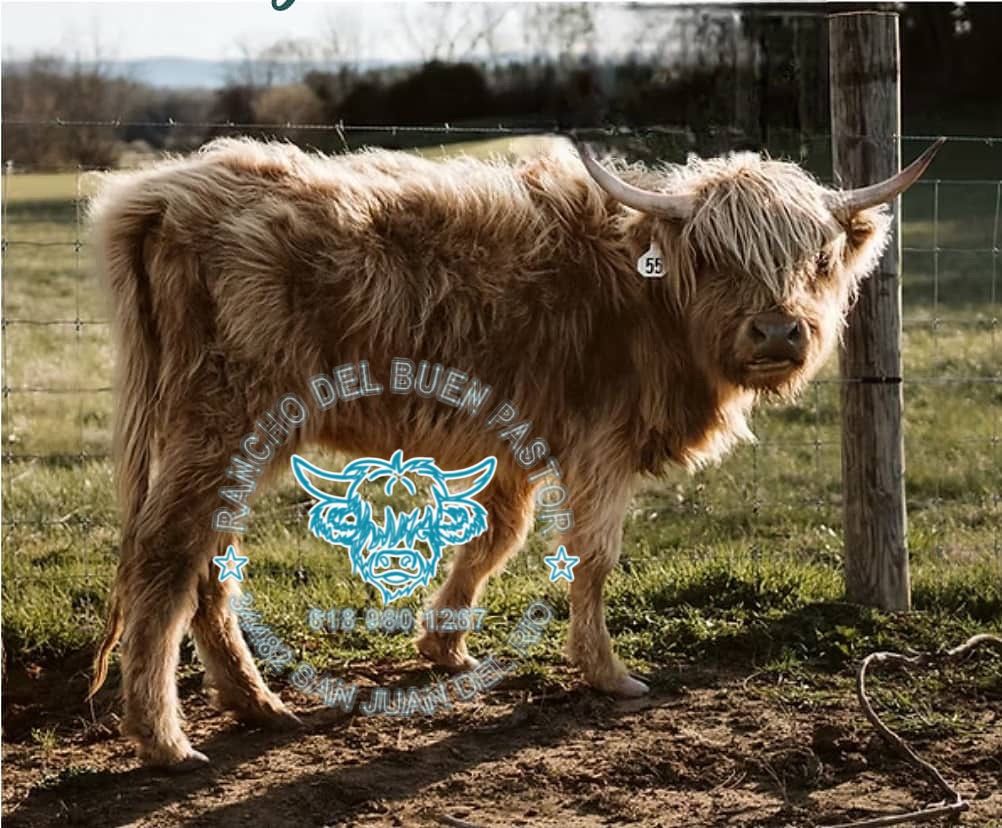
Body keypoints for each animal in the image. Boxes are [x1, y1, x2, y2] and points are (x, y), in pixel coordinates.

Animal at [86, 134, 942, 768]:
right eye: (713, 257)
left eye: (819, 260)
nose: (776, 331)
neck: (646, 297)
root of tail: (169, 191)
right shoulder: (602, 442)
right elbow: (592, 557)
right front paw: (608, 674)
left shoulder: (511, 440)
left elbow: (496, 537)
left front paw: (444, 647)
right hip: (220, 420)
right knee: (167, 555)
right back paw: (164, 739)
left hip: (231, 440)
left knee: (208, 565)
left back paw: (257, 706)